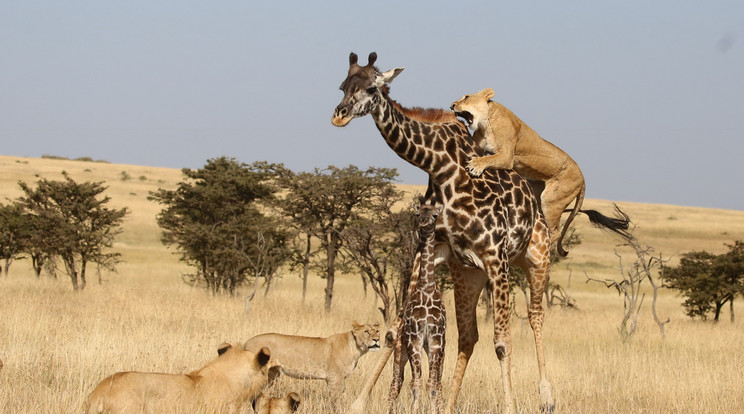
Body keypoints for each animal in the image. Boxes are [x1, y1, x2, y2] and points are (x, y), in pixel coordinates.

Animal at [244, 322, 380, 392]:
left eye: (377, 331)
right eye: (366, 331)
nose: (377, 339)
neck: (356, 349)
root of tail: (246, 342)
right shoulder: (334, 378)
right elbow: (336, 399)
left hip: (272, 374)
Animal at [390, 203, 448, 414]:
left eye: (434, 215)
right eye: (417, 214)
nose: (424, 223)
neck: (427, 288)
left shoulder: (436, 340)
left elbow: (432, 384)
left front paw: (434, 410)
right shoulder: (414, 339)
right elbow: (416, 383)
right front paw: (415, 409)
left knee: (437, 382)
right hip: (400, 350)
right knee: (396, 383)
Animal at [450, 88, 632, 256]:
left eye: (466, 97)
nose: (452, 105)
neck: (486, 122)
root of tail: (583, 179)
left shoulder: (507, 157)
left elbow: (488, 159)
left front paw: (475, 166)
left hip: (552, 200)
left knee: (555, 232)